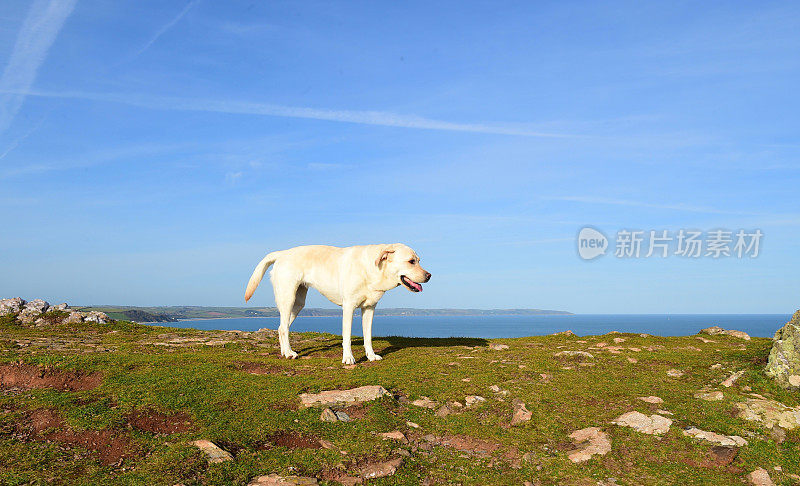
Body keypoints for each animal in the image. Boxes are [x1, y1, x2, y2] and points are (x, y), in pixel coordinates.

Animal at [244, 245, 432, 362]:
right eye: (411, 261)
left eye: (419, 260)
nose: (429, 275)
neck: (372, 269)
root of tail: (282, 253)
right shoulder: (348, 307)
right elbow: (347, 336)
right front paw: (348, 358)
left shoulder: (369, 308)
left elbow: (368, 336)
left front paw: (371, 356)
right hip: (288, 298)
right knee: (283, 328)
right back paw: (289, 353)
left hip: (298, 303)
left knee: (281, 327)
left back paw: (285, 352)